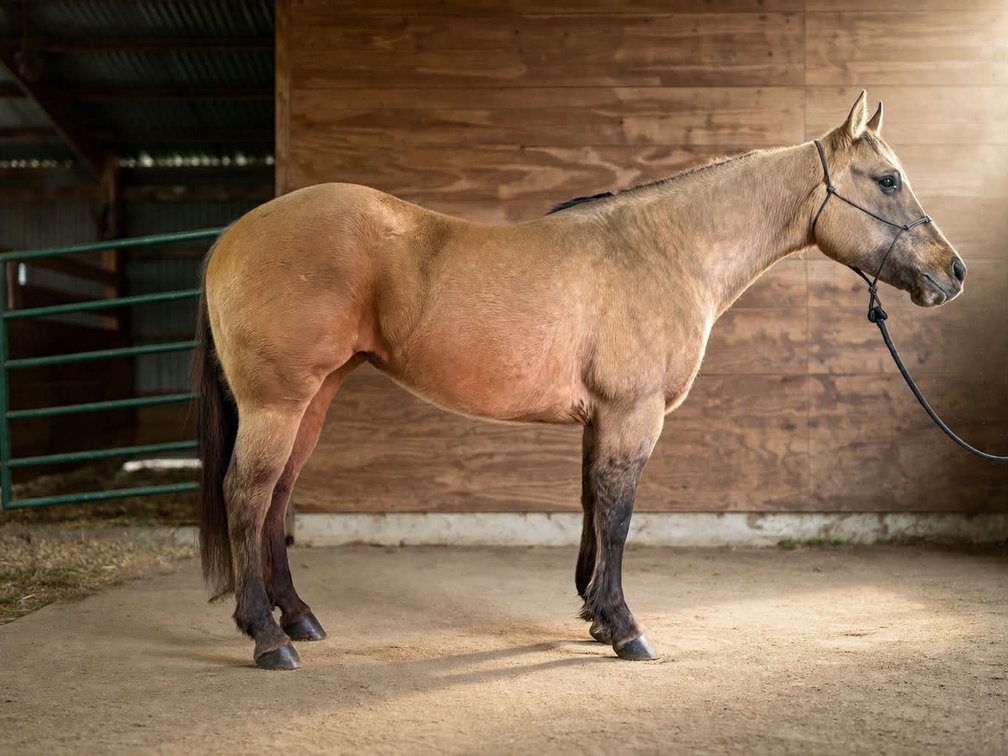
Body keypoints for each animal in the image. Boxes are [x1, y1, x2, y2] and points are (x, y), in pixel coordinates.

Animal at [194, 92, 967, 670]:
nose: (952, 272)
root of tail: (232, 236)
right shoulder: (633, 415)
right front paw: (625, 629)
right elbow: (620, 516)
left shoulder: (602, 420)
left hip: (312, 400)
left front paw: (595, 617)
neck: (666, 249)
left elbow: (595, 512)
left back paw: (299, 619)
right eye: (889, 180)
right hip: (278, 404)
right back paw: (268, 637)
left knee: (275, 500)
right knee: (247, 497)